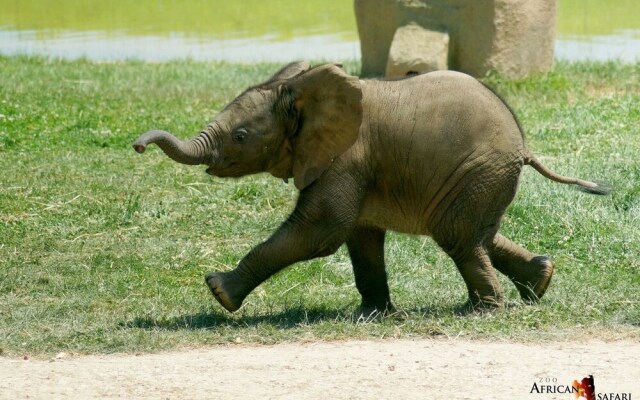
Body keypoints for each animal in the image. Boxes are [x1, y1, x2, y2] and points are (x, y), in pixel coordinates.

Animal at [132, 61, 608, 316]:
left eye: (241, 136)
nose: (137, 145)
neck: (302, 92)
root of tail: (524, 146)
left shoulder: (346, 157)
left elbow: (321, 231)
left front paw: (218, 291)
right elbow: (359, 237)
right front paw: (372, 315)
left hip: (478, 171)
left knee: (457, 237)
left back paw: (484, 312)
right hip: (483, 178)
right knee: (478, 235)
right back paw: (539, 283)